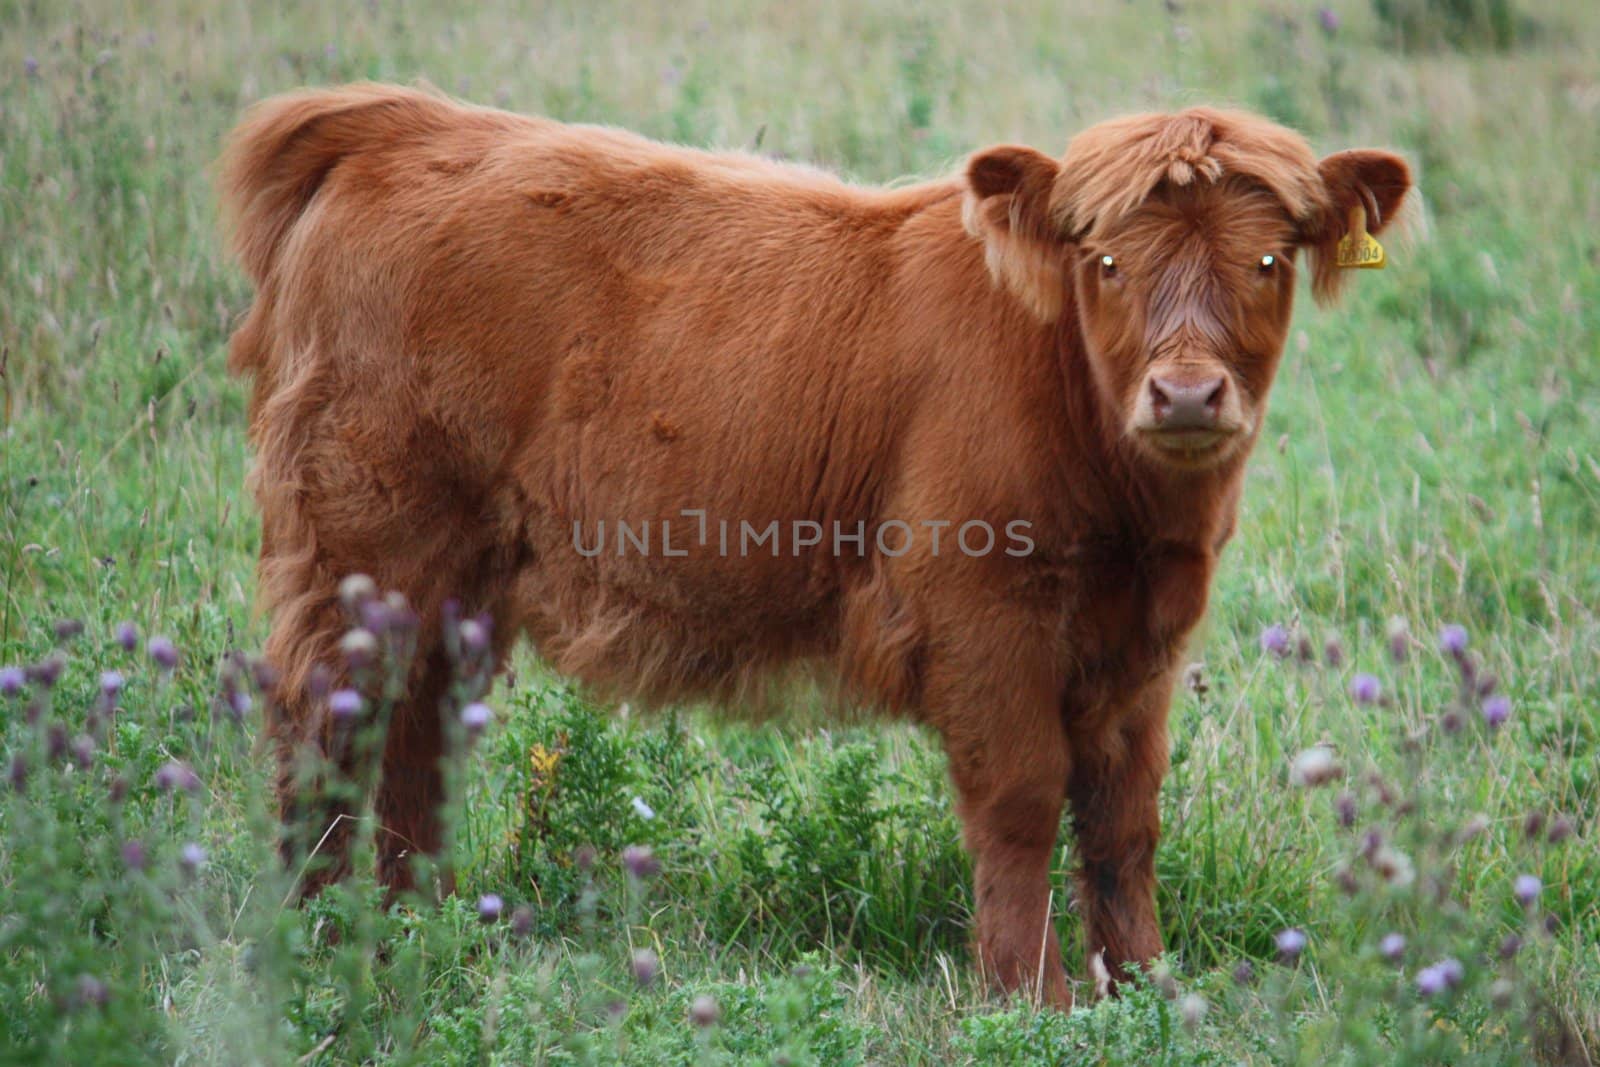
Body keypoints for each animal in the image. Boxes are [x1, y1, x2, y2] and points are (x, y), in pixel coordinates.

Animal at [219, 85, 1408, 1011]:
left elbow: (1124, 818)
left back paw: (415, 925)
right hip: (367, 542)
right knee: (329, 724)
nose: (1188, 393)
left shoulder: (1141, 644)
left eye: (1267, 260)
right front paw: (1034, 994)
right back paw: (325, 939)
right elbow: (1024, 800)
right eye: (1108, 261)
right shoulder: (983, 611)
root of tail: (399, 123)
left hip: (456, 577)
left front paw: (1153, 987)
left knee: (412, 731)